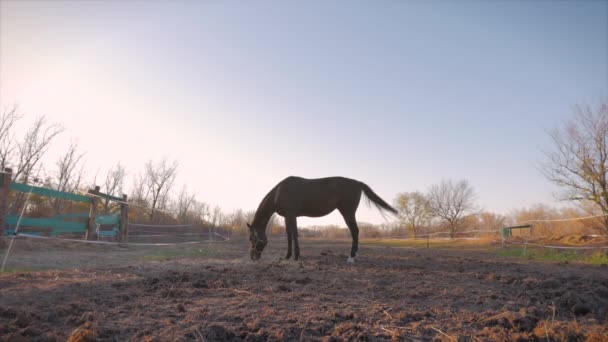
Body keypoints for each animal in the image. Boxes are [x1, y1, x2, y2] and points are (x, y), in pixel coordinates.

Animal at [247, 178, 400, 264]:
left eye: (251, 238)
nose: (253, 257)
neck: (279, 192)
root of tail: (358, 183)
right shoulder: (287, 216)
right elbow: (289, 236)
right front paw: (287, 256)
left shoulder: (291, 215)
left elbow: (294, 234)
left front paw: (296, 256)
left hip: (348, 212)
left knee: (355, 231)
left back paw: (351, 257)